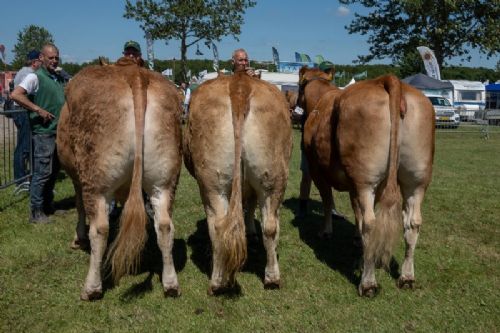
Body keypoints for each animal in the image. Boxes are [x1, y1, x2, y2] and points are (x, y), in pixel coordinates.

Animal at [58, 56, 184, 298]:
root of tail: (134, 74)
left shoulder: (76, 177)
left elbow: (79, 207)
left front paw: (78, 238)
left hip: (95, 181)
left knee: (100, 228)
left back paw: (91, 287)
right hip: (165, 180)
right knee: (165, 225)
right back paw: (170, 283)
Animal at [184, 71, 292, 292]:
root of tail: (240, 85)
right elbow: (250, 206)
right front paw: (251, 231)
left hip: (211, 184)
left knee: (218, 225)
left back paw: (217, 281)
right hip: (273, 178)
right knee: (270, 225)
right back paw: (272, 278)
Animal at [298, 67, 436, 296]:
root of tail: (388, 80)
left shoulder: (319, 170)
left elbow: (328, 201)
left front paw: (326, 231)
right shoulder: (355, 183)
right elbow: (355, 211)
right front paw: (356, 239)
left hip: (366, 179)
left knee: (370, 222)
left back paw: (368, 282)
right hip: (416, 179)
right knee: (413, 222)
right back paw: (406, 277)